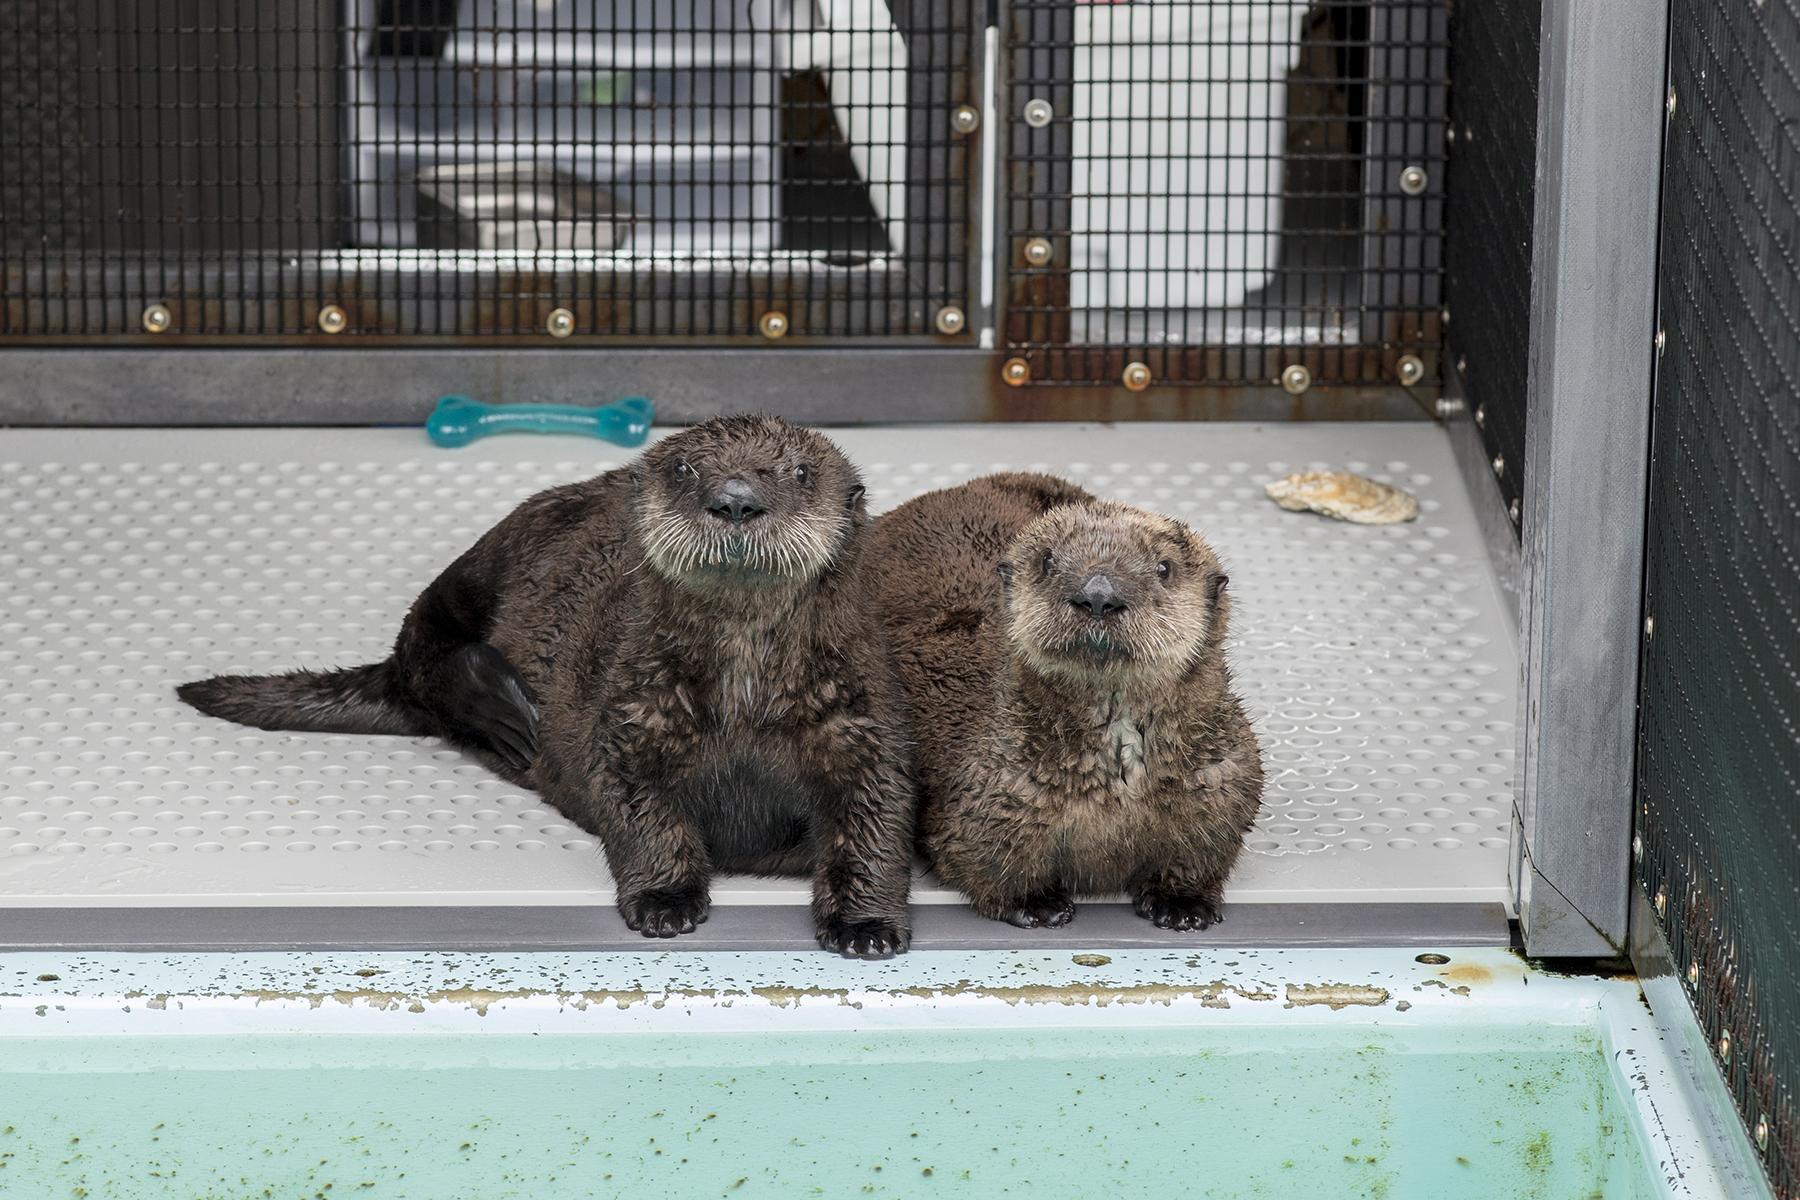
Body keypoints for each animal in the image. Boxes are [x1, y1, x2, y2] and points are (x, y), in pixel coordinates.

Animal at [178, 416, 916, 958]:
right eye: (685, 469)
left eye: (799, 473)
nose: (735, 499)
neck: (743, 694)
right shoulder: (630, 713)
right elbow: (639, 808)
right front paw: (665, 902)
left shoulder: (861, 720)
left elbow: (876, 819)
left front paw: (866, 927)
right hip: (504, 544)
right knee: (420, 637)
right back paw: (495, 702)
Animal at [866, 473, 1262, 931]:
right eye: (1047, 560)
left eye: (1164, 567)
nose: (1098, 594)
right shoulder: (990, 791)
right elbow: (982, 860)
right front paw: (1038, 904)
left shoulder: (1221, 779)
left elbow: (1202, 852)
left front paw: (1183, 905)